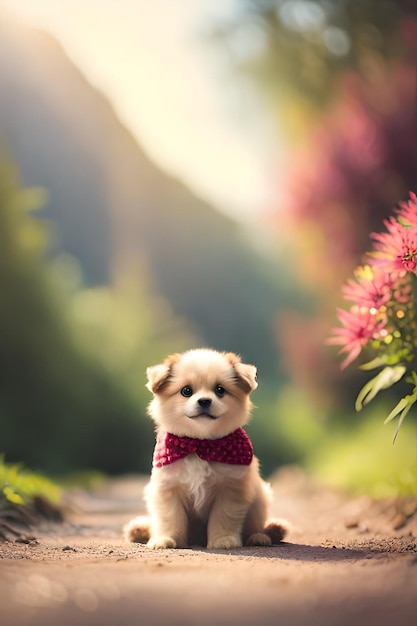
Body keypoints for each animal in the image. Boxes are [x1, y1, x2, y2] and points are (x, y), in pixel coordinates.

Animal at [123, 348, 286, 548]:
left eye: (220, 390)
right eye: (186, 391)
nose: (204, 401)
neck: (200, 443)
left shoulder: (230, 491)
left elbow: (223, 518)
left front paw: (223, 540)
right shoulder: (168, 490)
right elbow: (170, 519)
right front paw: (167, 539)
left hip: (260, 500)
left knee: (256, 526)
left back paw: (259, 537)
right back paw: (140, 530)